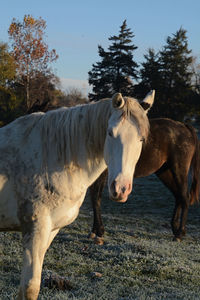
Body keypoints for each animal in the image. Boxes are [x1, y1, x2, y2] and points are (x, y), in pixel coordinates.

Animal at [0, 90, 155, 298]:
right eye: (110, 133)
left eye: (141, 139)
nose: (121, 188)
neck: (52, 157)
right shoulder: (35, 230)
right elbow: (30, 288)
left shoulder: (50, 231)